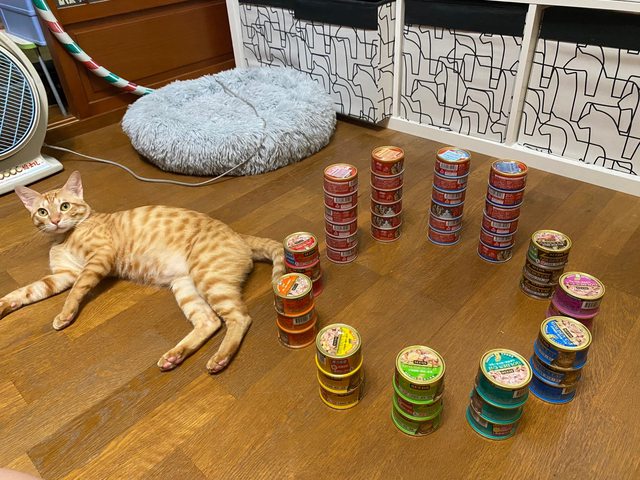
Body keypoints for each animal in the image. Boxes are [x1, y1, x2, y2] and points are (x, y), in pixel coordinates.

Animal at [0, 171, 285, 373]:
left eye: (65, 206)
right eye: (42, 211)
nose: (56, 221)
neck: (64, 237)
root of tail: (239, 235)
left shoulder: (99, 258)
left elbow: (77, 290)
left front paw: (65, 314)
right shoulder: (62, 275)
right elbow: (27, 291)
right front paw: (4, 304)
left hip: (209, 279)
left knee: (240, 318)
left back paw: (220, 358)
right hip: (186, 287)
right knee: (210, 321)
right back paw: (174, 356)